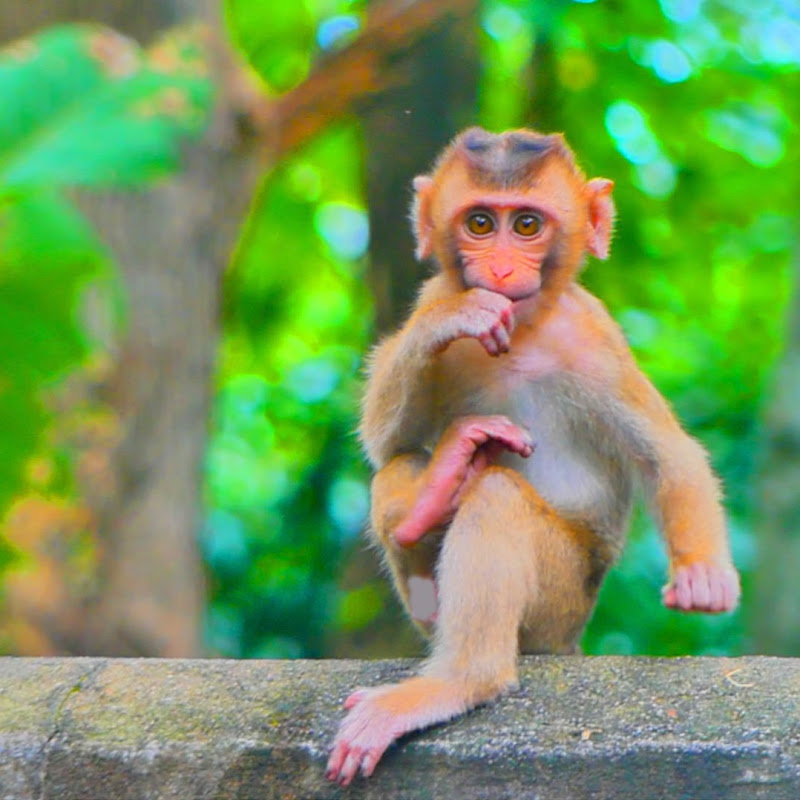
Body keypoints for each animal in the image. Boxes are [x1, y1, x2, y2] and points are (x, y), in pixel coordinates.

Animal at [325, 127, 740, 785]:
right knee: (402, 465)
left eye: (525, 225)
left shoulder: (594, 338)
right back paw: (439, 486)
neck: (521, 331)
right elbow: (383, 440)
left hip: (562, 599)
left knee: (497, 499)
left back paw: (460, 680)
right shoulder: (435, 291)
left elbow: (667, 455)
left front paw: (702, 576)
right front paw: (457, 320)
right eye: (479, 223)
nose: (499, 267)